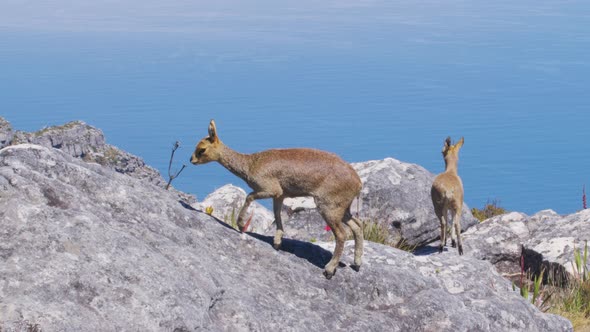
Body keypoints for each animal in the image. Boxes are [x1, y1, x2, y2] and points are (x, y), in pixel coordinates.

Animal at [190, 120, 366, 278]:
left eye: (202, 149)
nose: (191, 160)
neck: (250, 164)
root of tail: (358, 182)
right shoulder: (279, 195)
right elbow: (276, 214)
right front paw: (277, 242)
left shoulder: (269, 189)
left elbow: (248, 197)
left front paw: (240, 224)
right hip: (342, 209)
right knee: (357, 226)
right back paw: (357, 263)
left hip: (328, 207)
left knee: (342, 234)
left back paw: (329, 269)